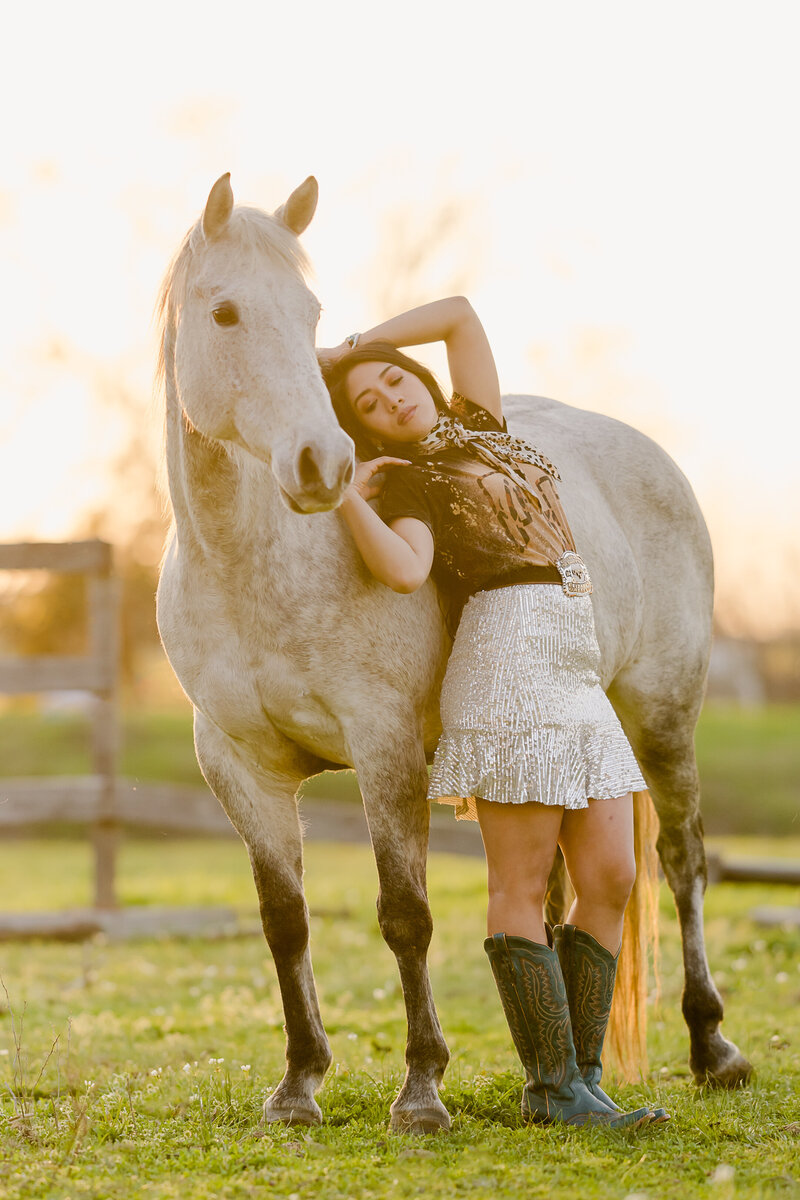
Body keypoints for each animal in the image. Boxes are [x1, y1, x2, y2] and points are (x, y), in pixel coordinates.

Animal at [155, 171, 753, 1132]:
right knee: (554, 896)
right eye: (226, 312)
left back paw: (712, 1047)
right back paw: (553, 1073)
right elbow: (285, 920)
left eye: (312, 312)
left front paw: (422, 1089)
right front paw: (299, 1083)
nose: (326, 464)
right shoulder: (239, 767)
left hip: (663, 717)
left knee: (682, 864)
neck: (255, 569)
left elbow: (406, 915)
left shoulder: (385, 748)